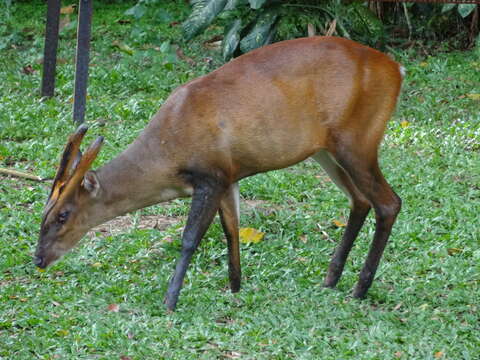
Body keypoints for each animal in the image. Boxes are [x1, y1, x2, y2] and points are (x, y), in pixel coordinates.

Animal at [33, 37, 404, 312]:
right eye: (43, 214)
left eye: (63, 215)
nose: (38, 258)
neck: (167, 150)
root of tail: (396, 70)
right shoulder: (230, 176)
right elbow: (232, 231)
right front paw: (236, 287)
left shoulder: (210, 175)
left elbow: (189, 239)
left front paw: (170, 301)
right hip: (327, 150)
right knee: (360, 200)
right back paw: (331, 279)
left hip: (357, 140)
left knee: (389, 202)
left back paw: (359, 289)